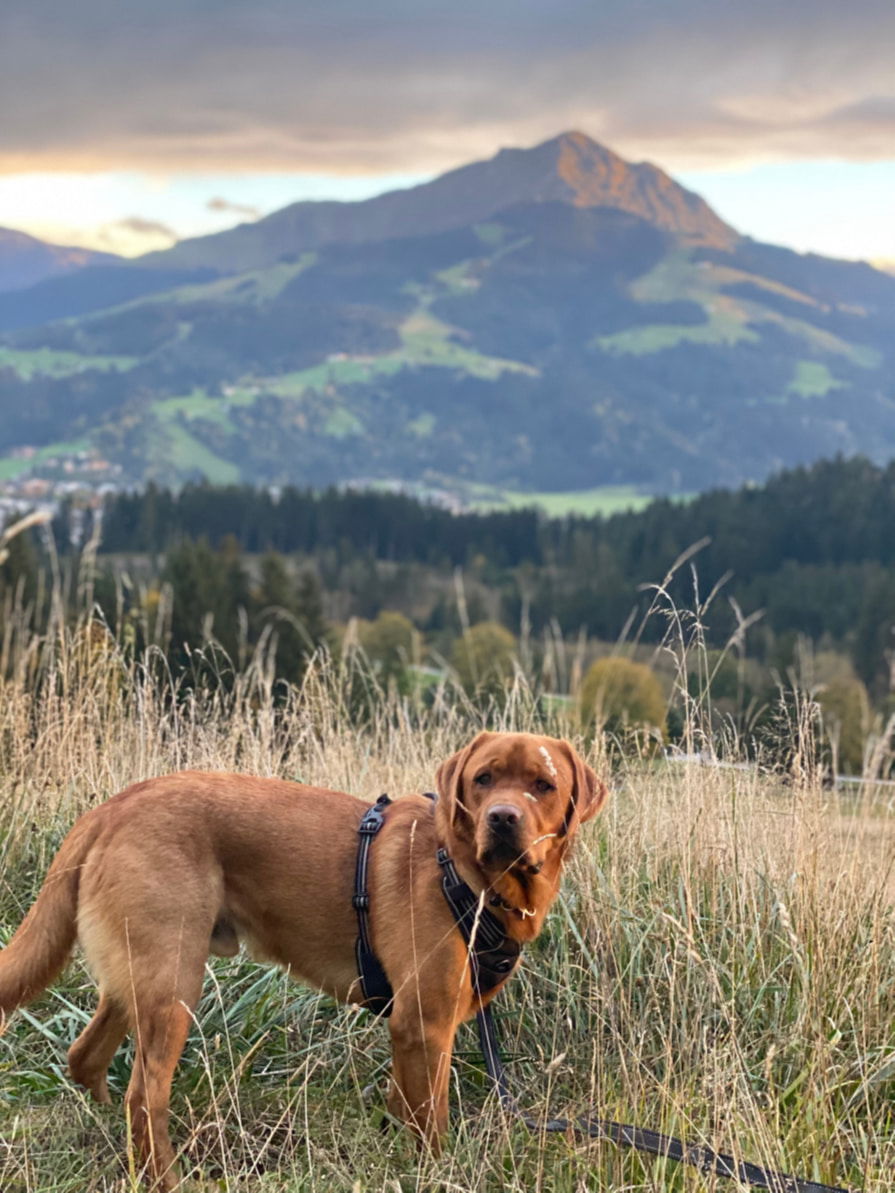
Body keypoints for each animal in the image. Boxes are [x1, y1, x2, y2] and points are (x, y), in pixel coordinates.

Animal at [0, 730, 606, 1188]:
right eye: (483, 779)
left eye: (544, 785)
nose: (502, 818)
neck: (468, 877)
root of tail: (111, 807)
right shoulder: (425, 1024)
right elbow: (431, 1123)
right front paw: (435, 1171)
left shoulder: (416, 1031)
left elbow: (404, 1106)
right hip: (173, 984)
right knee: (144, 1095)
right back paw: (165, 1178)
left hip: (140, 978)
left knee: (84, 1057)